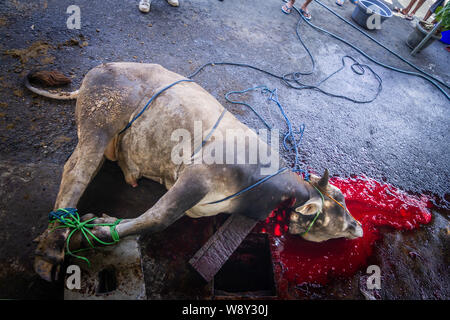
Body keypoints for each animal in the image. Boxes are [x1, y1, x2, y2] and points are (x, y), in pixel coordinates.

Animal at [26, 63, 364, 282]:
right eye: (337, 199)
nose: (358, 226)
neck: (265, 194)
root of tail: (94, 73)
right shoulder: (197, 176)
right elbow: (157, 218)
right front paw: (93, 233)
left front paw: (100, 224)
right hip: (100, 121)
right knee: (77, 172)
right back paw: (53, 247)